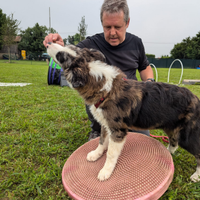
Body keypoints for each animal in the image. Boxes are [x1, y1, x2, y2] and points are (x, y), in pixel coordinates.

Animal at [47, 42, 200, 183]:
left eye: (61, 56)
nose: (48, 43)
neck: (105, 89)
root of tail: (195, 98)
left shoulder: (118, 130)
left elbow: (110, 153)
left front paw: (105, 171)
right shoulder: (105, 124)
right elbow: (101, 142)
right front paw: (96, 154)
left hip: (187, 136)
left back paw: (196, 176)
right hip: (171, 127)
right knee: (174, 142)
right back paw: (167, 152)